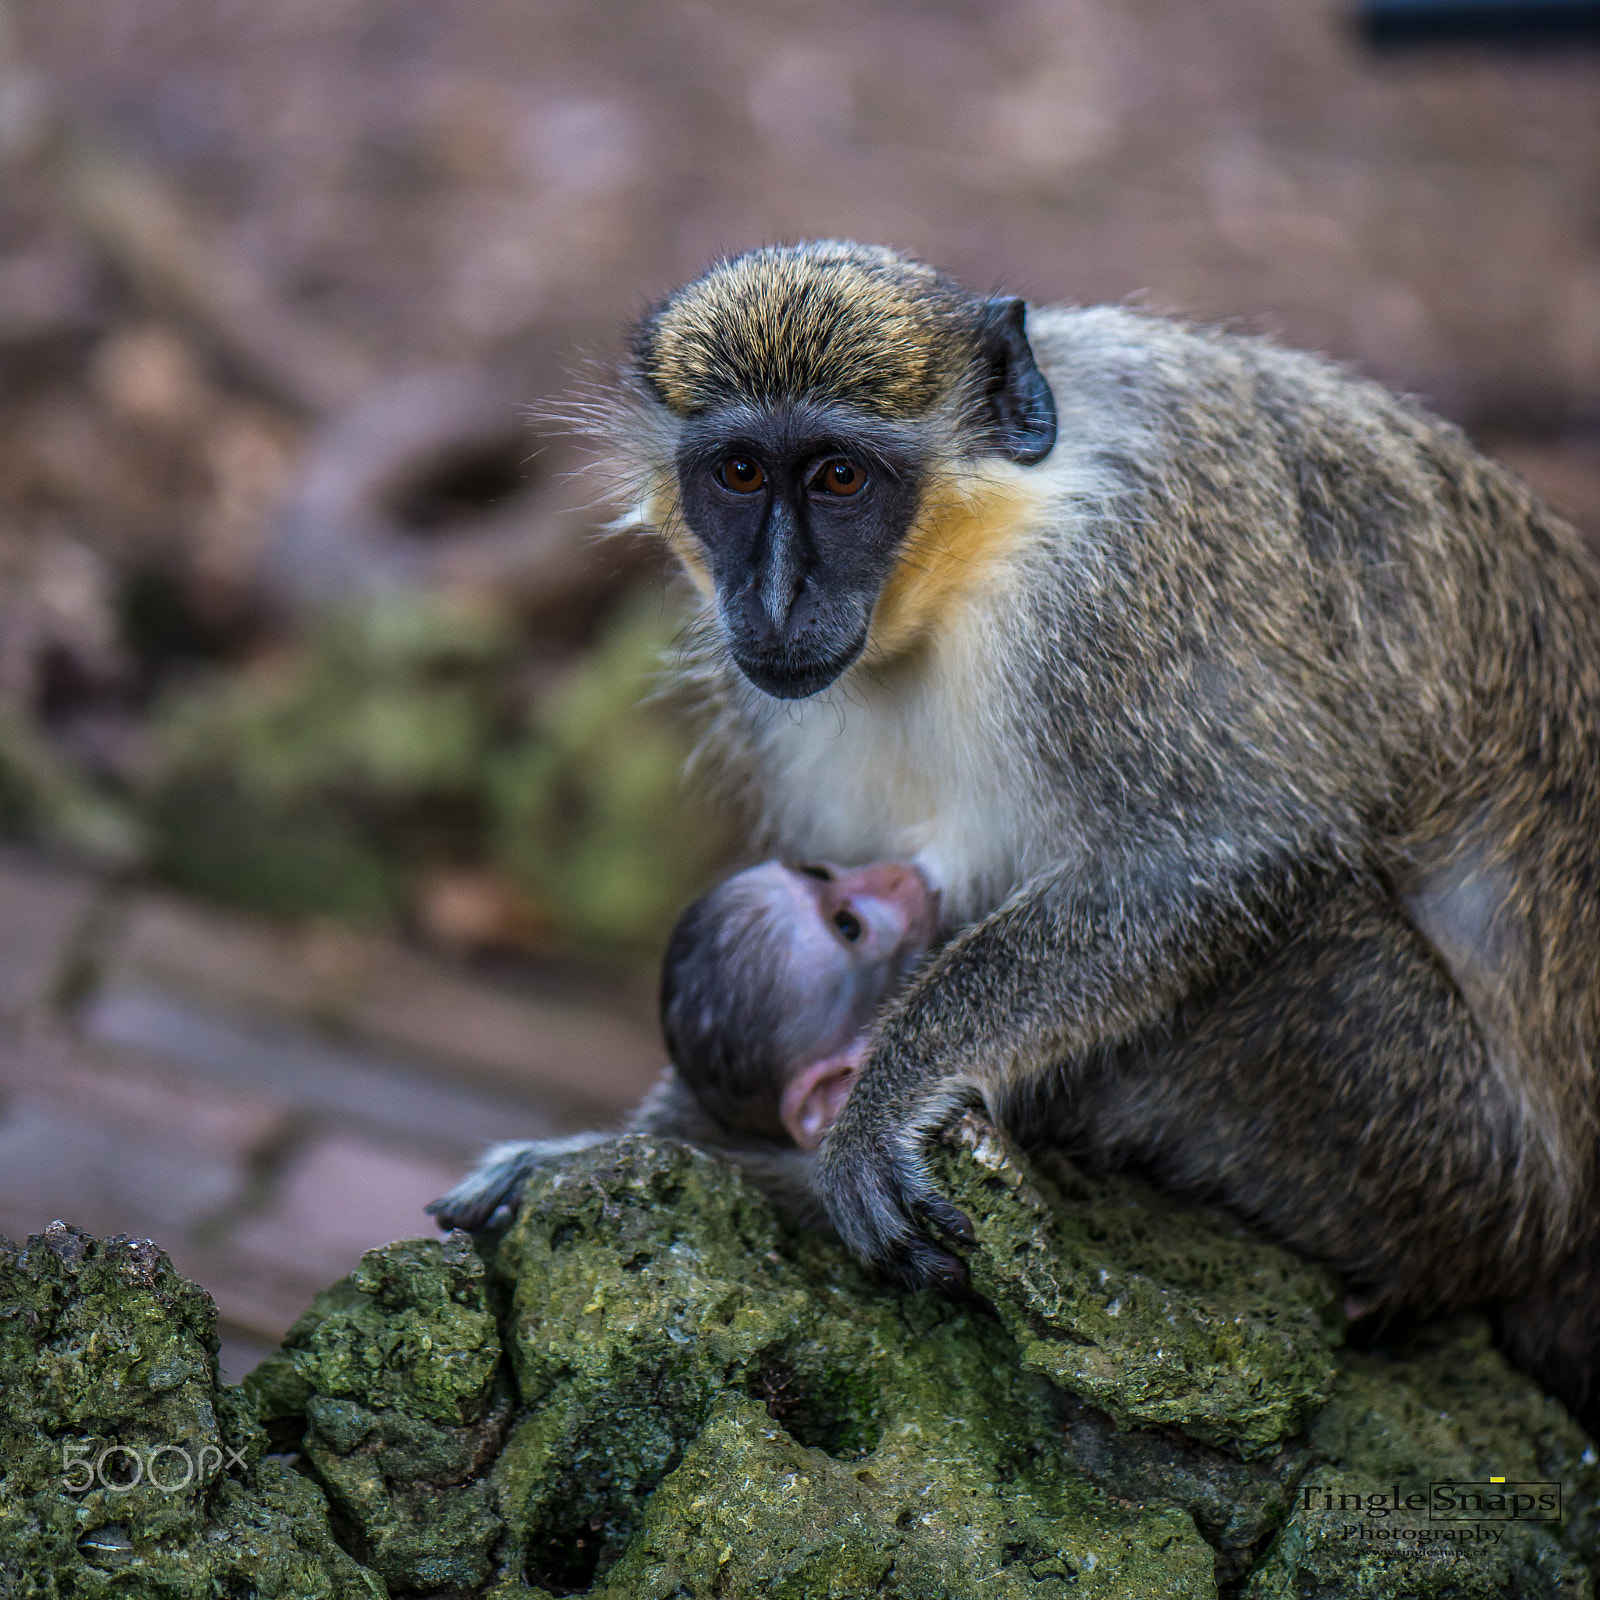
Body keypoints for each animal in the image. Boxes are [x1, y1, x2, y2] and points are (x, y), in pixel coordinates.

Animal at [582, 239, 1600, 1429]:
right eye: (740, 474)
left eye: (840, 479)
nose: (776, 598)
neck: (989, 533)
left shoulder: (1119, 583)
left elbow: (1222, 848)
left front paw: (885, 1095)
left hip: (1458, 1163)